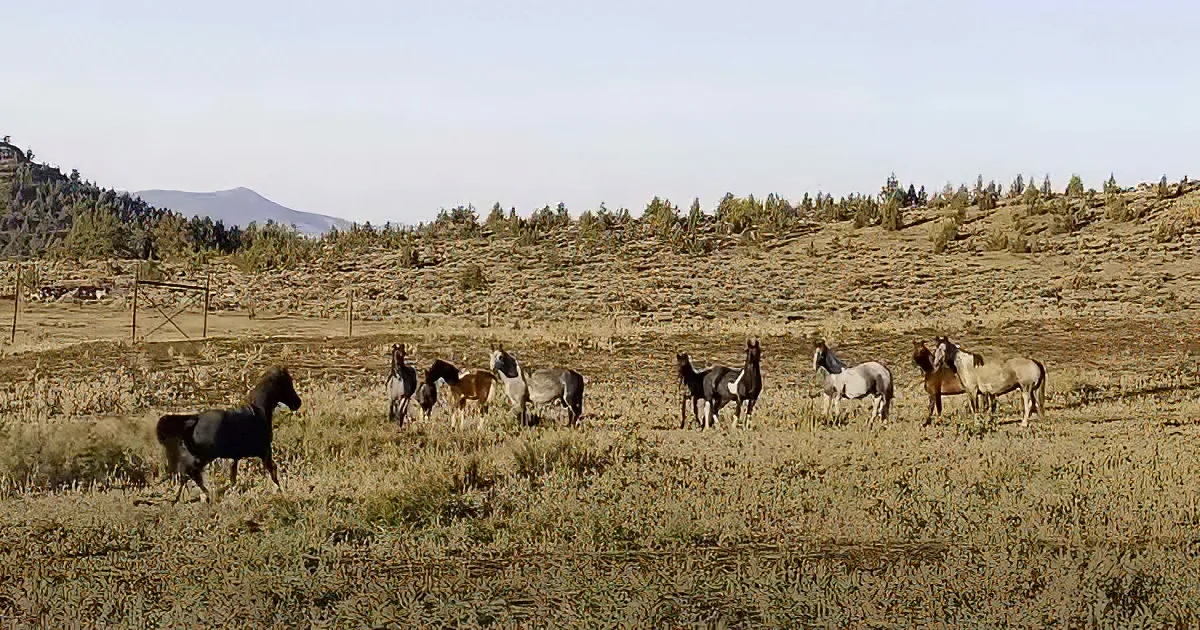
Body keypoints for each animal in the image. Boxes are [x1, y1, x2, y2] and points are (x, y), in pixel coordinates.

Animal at [156, 366, 302, 503]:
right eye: (287, 383)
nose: (298, 403)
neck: (260, 411)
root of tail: (194, 419)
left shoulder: (235, 458)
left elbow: (233, 477)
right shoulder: (265, 451)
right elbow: (273, 472)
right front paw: (281, 491)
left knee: (186, 473)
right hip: (205, 456)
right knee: (191, 472)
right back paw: (207, 495)